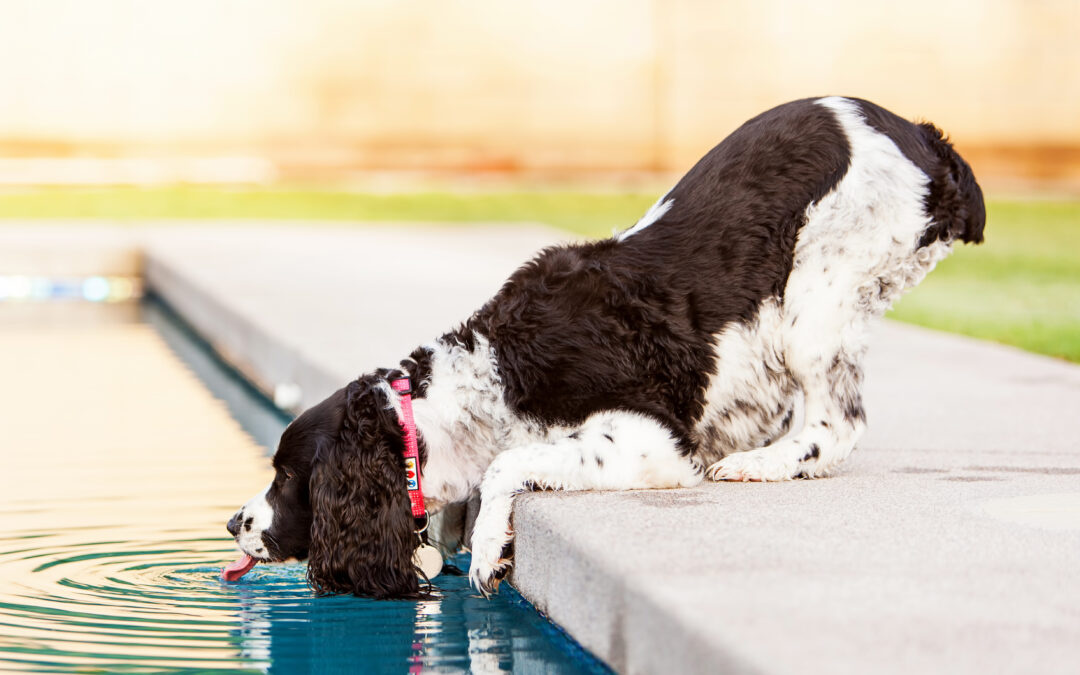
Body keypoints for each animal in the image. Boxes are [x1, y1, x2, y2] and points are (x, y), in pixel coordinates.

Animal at [225, 93, 989, 596]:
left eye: (288, 477)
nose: (235, 520)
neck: (484, 377)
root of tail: (925, 137)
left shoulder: (647, 441)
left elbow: (505, 468)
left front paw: (487, 549)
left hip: (818, 296)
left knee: (837, 423)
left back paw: (761, 463)